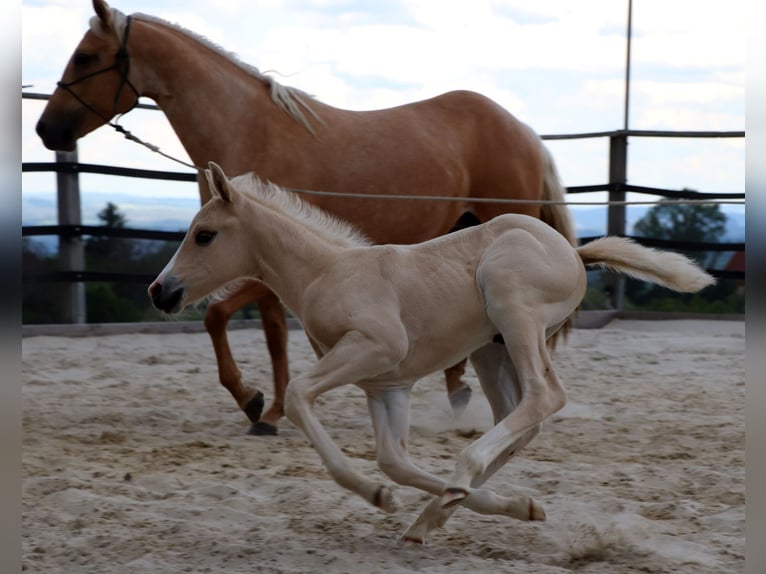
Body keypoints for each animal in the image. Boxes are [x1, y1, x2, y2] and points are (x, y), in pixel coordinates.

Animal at [36, 0, 576, 436]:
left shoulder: (262, 265)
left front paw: (259, 406)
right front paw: (269, 407)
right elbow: (269, 335)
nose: (46, 129)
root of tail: (525, 131)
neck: (249, 127)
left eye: (86, 56)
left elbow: (223, 318)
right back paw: (458, 392)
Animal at [152, 163, 720, 544]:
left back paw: (456, 485)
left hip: (513, 311)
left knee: (544, 396)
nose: (161, 292)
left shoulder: (375, 347)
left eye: (204, 235)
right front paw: (493, 505)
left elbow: (296, 396)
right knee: (518, 419)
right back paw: (443, 509)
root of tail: (574, 253)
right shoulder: (386, 382)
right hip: (494, 352)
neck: (326, 273)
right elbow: (394, 459)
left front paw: (380, 495)